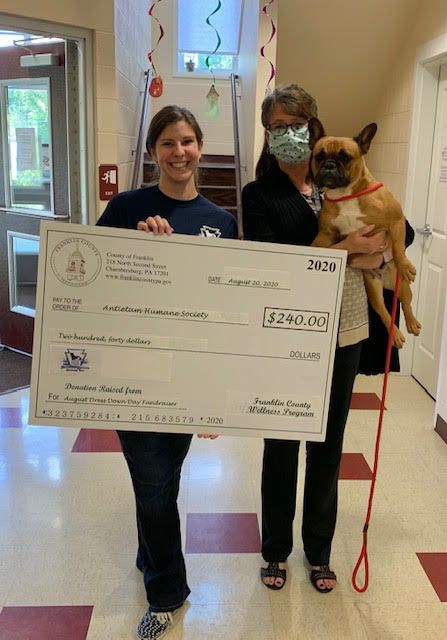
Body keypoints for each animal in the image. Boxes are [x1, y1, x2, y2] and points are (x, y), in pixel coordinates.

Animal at [310, 117, 422, 348]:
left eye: (345, 157)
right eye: (319, 156)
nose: (329, 165)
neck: (345, 194)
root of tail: (386, 279)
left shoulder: (397, 219)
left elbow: (399, 248)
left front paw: (405, 264)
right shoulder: (326, 234)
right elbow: (316, 245)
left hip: (404, 288)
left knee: (406, 304)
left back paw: (412, 323)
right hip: (373, 290)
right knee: (385, 313)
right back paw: (396, 335)